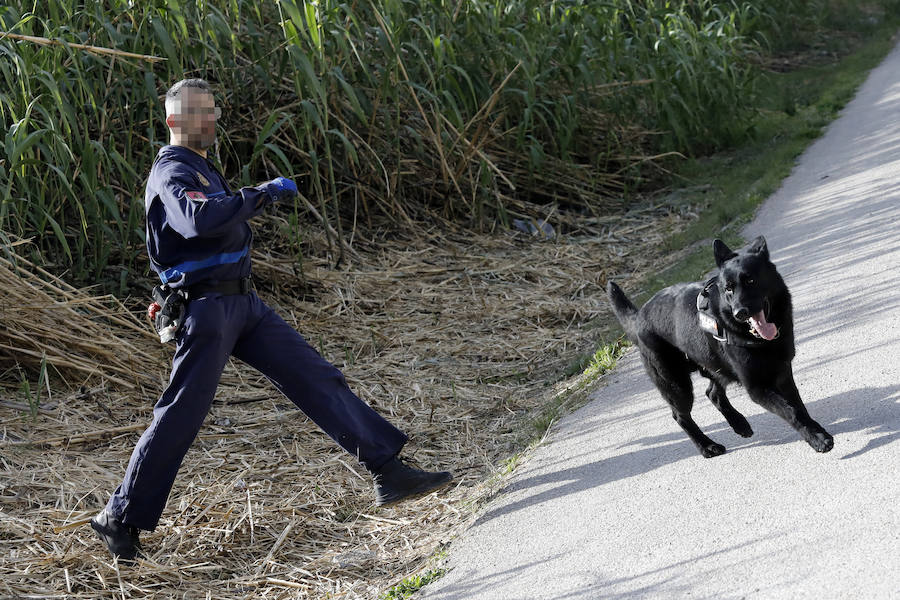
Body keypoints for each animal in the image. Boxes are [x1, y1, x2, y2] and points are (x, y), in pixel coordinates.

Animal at [608, 237, 832, 458]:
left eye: (751, 280)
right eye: (728, 288)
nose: (739, 312)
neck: (760, 340)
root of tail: (639, 318)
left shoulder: (783, 374)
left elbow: (798, 407)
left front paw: (817, 432)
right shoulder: (757, 388)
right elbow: (791, 412)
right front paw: (816, 439)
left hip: (714, 366)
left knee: (713, 393)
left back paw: (739, 424)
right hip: (677, 386)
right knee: (681, 416)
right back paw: (707, 447)